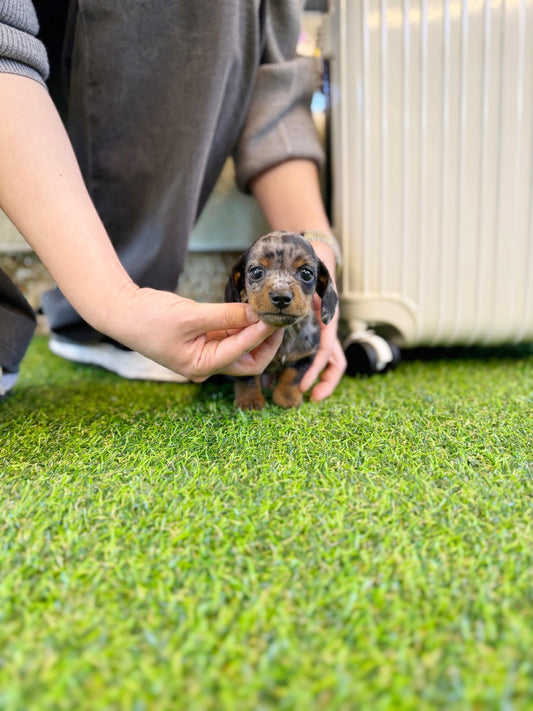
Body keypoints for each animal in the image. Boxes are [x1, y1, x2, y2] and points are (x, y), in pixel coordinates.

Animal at [224, 232, 336, 408]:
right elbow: (247, 378)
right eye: (256, 272)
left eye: (306, 273)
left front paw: (287, 398)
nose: (281, 298)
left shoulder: (306, 356)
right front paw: (250, 400)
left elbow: (291, 376)